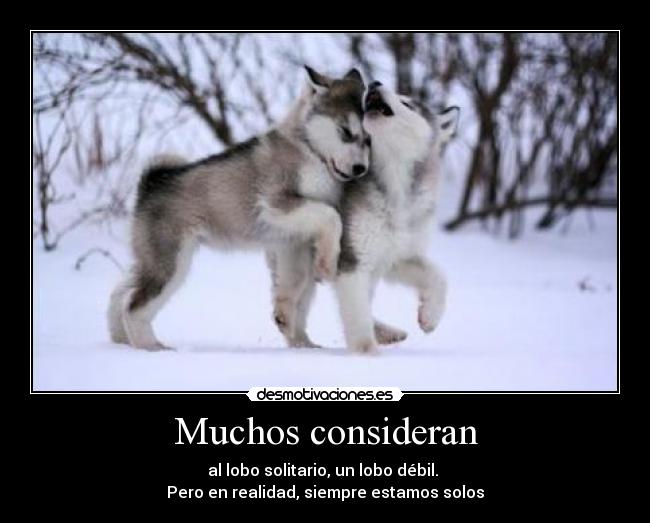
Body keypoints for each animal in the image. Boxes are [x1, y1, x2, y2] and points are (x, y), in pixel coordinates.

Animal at [108, 66, 370, 350]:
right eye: (345, 131)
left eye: (368, 139)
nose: (360, 169)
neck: (310, 151)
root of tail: (151, 183)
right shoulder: (276, 203)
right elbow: (331, 216)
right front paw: (327, 266)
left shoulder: (293, 242)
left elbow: (297, 287)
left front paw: (299, 340)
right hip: (171, 262)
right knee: (134, 306)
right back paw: (150, 347)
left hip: (151, 259)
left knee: (121, 292)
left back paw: (120, 339)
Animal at [269, 81, 459, 352]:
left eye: (407, 103)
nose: (376, 83)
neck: (394, 189)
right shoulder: (354, 261)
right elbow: (357, 318)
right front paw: (367, 354)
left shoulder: (396, 256)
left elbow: (438, 276)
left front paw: (430, 316)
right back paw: (303, 343)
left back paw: (385, 332)